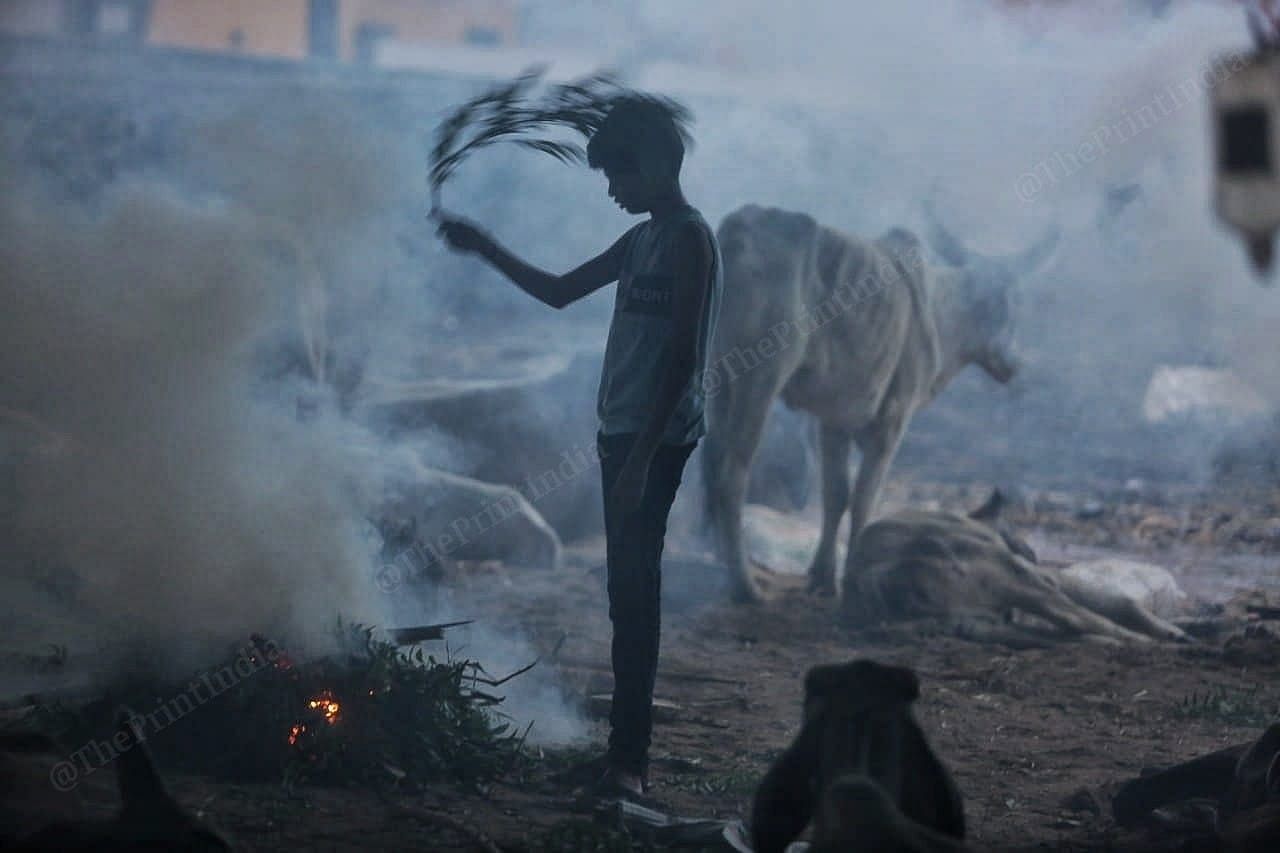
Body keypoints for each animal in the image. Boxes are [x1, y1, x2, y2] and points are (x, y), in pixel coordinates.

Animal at [839, 504, 1187, 645]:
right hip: (1016, 581)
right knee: (1080, 619)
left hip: (986, 623)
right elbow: (1113, 606)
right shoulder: (1031, 578)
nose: (1029, 550)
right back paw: (1147, 640)